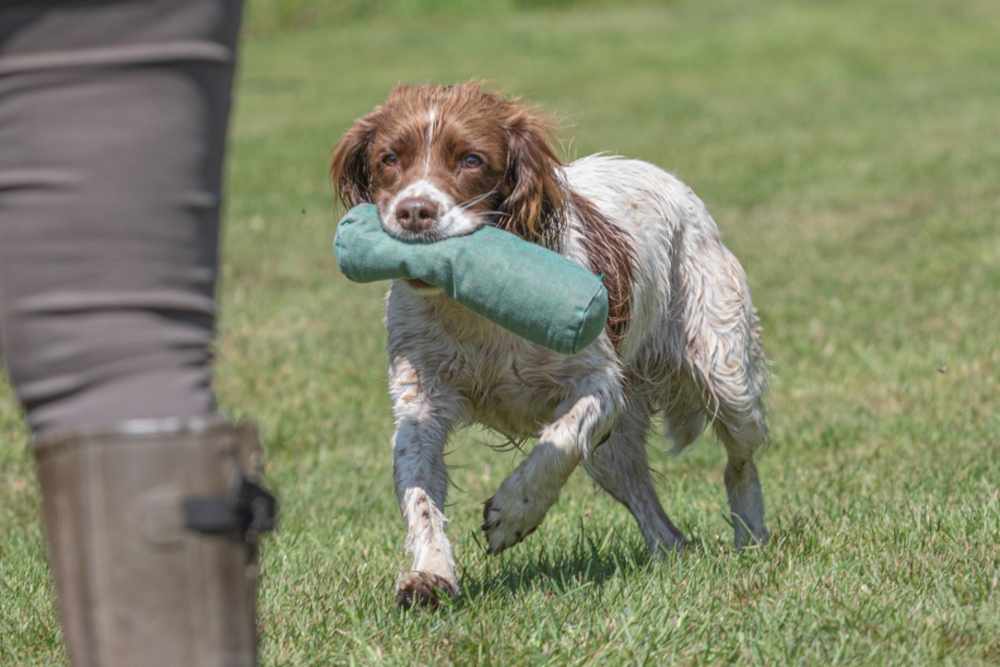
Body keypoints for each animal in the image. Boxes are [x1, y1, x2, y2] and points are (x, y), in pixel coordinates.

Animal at [332, 83, 768, 612]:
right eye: (389, 158)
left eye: (472, 159)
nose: (415, 211)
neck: (474, 310)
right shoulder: (421, 404)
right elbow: (421, 497)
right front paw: (430, 576)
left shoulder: (599, 383)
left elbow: (558, 442)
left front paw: (513, 513)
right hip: (612, 451)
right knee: (660, 522)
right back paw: (671, 556)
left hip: (726, 376)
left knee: (740, 461)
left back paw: (752, 538)